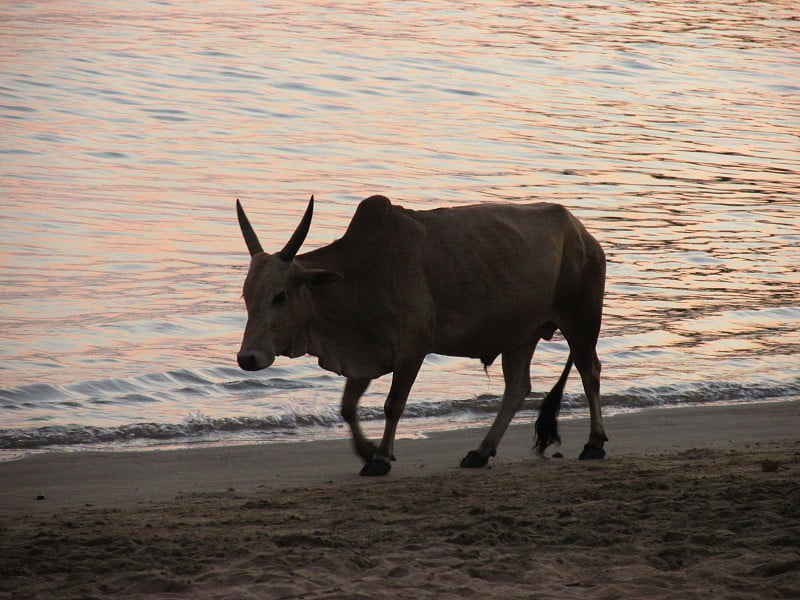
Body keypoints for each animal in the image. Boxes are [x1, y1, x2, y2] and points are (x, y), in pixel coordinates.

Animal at [234, 195, 608, 476]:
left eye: (279, 296)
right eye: (246, 296)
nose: (247, 358)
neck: (360, 275)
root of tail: (580, 231)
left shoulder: (411, 351)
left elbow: (393, 405)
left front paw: (380, 458)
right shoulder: (366, 354)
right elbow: (348, 407)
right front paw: (368, 450)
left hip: (580, 323)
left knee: (590, 373)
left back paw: (594, 443)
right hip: (519, 336)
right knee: (517, 389)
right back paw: (481, 451)